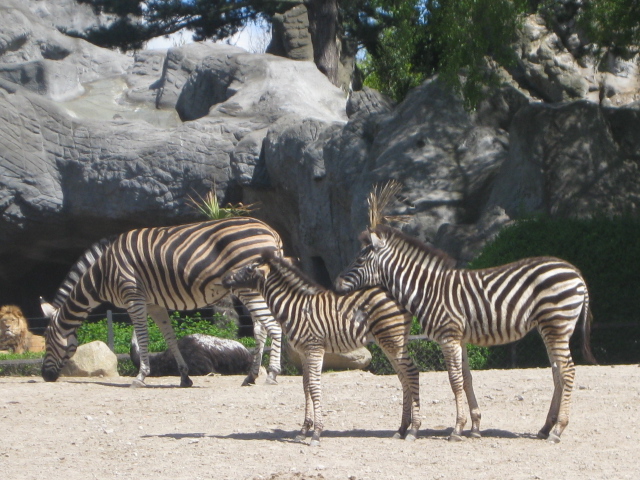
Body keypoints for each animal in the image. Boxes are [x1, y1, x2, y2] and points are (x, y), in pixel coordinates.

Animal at [40, 216, 284, 388]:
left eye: (47, 341)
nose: (45, 376)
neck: (103, 274)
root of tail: (272, 231)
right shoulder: (154, 304)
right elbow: (170, 338)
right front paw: (184, 377)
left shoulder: (133, 298)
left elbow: (143, 337)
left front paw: (140, 377)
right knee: (261, 329)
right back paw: (250, 376)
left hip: (248, 287)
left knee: (274, 326)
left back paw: (271, 374)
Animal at [222, 249, 422, 448]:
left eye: (249, 269)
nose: (224, 279)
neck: (295, 307)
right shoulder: (303, 352)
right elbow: (306, 387)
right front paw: (304, 430)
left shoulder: (314, 348)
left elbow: (314, 386)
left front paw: (316, 433)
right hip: (389, 340)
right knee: (403, 377)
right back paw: (402, 429)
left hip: (392, 338)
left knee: (411, 372)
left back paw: (413, 430)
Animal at [332, 224, 596, 442]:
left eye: (359, 259)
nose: (336, 284)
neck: (427, 291)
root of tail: (575, 272)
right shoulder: (461, 339)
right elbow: (467, 379)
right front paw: (475, 427)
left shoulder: (448, 337)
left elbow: (454, 380)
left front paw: (457, 429)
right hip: (549, 327)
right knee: (557, 372)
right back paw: (545, 428)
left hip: (556, 324)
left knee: (568, 371)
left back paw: (558, 430)